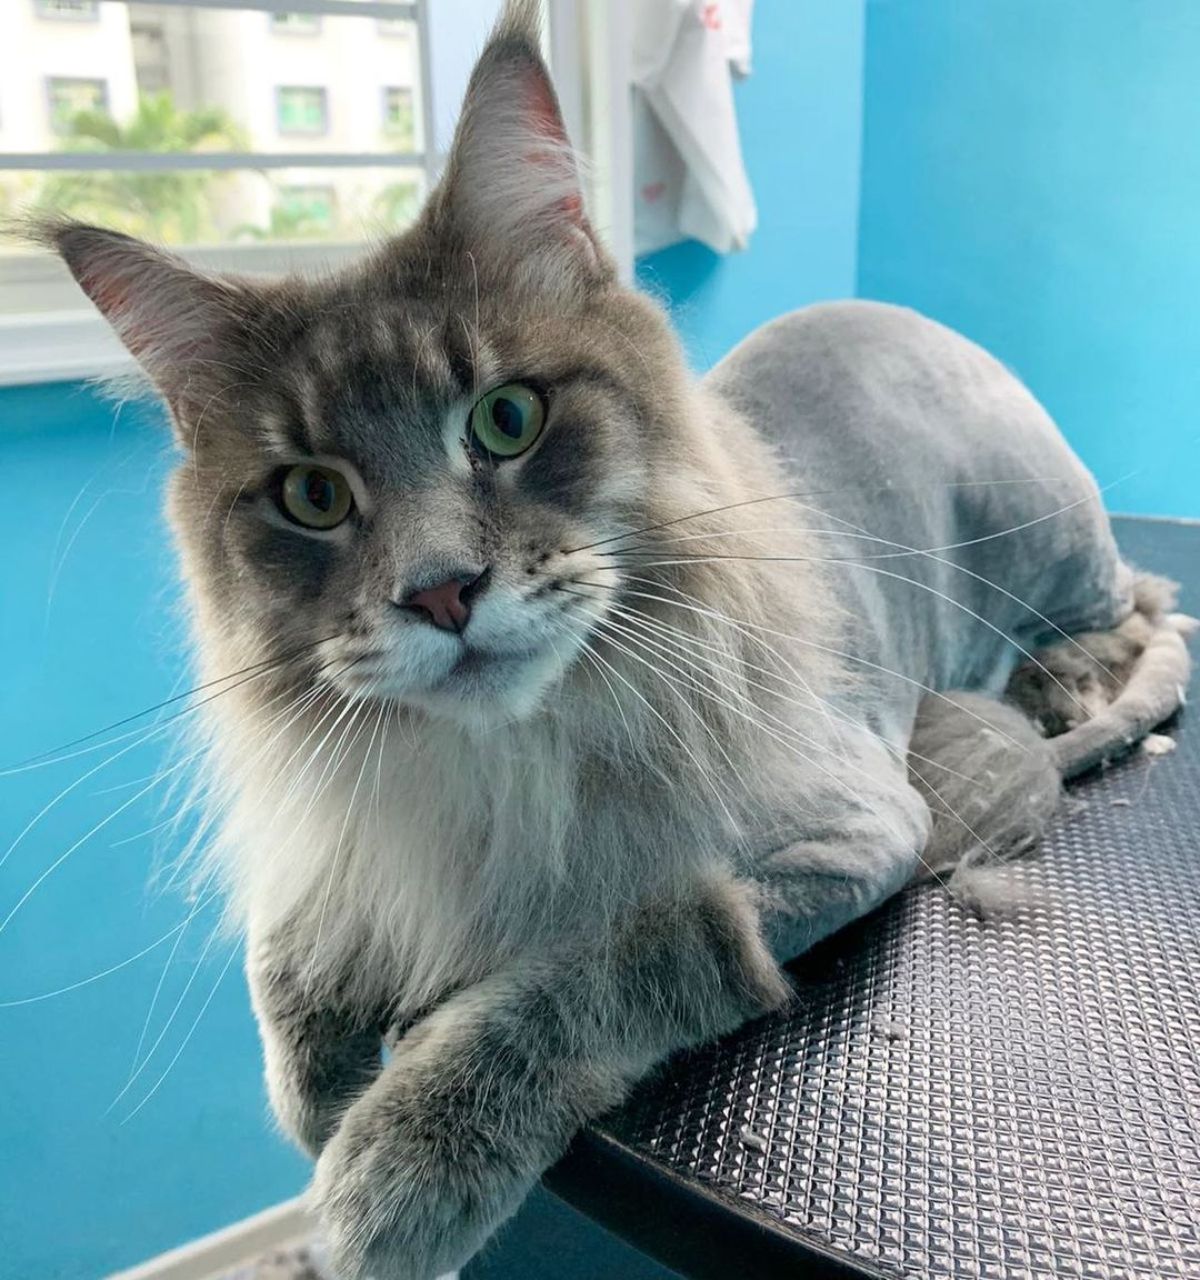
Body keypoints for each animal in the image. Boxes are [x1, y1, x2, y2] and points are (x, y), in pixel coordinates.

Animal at [32, 2, 1192, 1280]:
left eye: (508, 419)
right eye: (314, 496)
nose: (442, 591)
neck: (499, 759)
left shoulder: (842, 836)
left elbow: (608, 960)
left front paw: (390, 1165)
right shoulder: (352, 829)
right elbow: (287, 951)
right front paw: (317, 1085)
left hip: (1038, 533)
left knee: (1141, 606)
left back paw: (1060, 680)